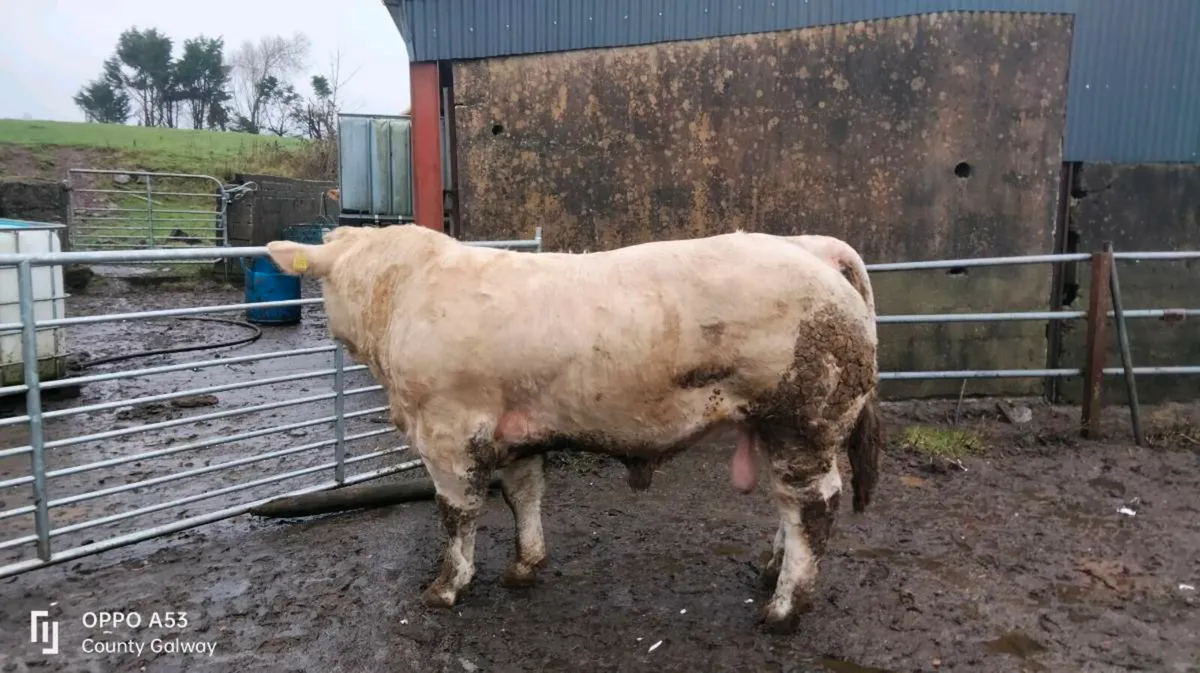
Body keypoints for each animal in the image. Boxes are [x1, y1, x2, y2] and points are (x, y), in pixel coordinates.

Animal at [264, 224, 883, 633]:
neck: (399, 294)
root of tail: (811, 246)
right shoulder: (516, 431)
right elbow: (523, 494)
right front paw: (524, 566)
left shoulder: (448, 431)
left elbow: (456, 513)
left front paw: (445, 587)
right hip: (781, 429)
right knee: (788, 506)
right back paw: (770, 570)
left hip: (804, 421)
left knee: (814, 505)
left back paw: (783, 608)